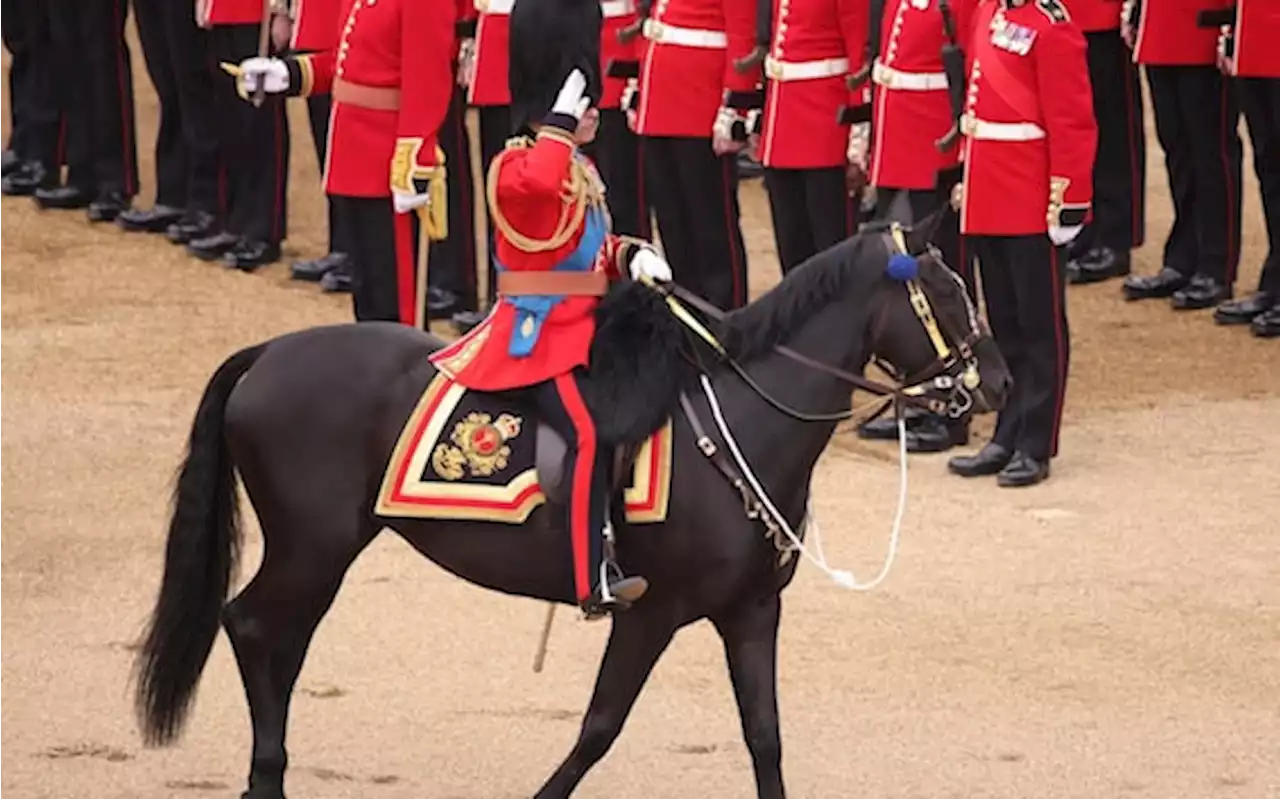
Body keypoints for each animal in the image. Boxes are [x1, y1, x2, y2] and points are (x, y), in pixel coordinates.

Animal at [129, 222, 1008, 799]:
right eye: (946, 291)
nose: (997, 382)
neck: (745, 420)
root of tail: (267, 354)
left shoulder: (752, 609)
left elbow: (765, 736)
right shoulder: (652, 610)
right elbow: (599, 726)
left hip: (318, 550)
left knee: (277, 639)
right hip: (314, 547)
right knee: (252, 627)